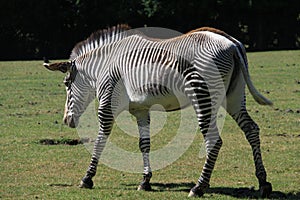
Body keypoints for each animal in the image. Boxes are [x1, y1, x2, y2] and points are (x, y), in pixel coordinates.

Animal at [44, 24, 272, 198]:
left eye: (66, 84)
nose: (66, 120)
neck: (105, 64)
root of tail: (232, 43)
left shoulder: (107, 106)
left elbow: (100, 141)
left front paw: (87, 178)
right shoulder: (141, 110)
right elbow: (144, 144)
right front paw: (145, 181)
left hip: (203, 95)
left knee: (213, 140)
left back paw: (199, 187)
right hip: (234, 96)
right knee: (251, 129)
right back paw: (263, 182)